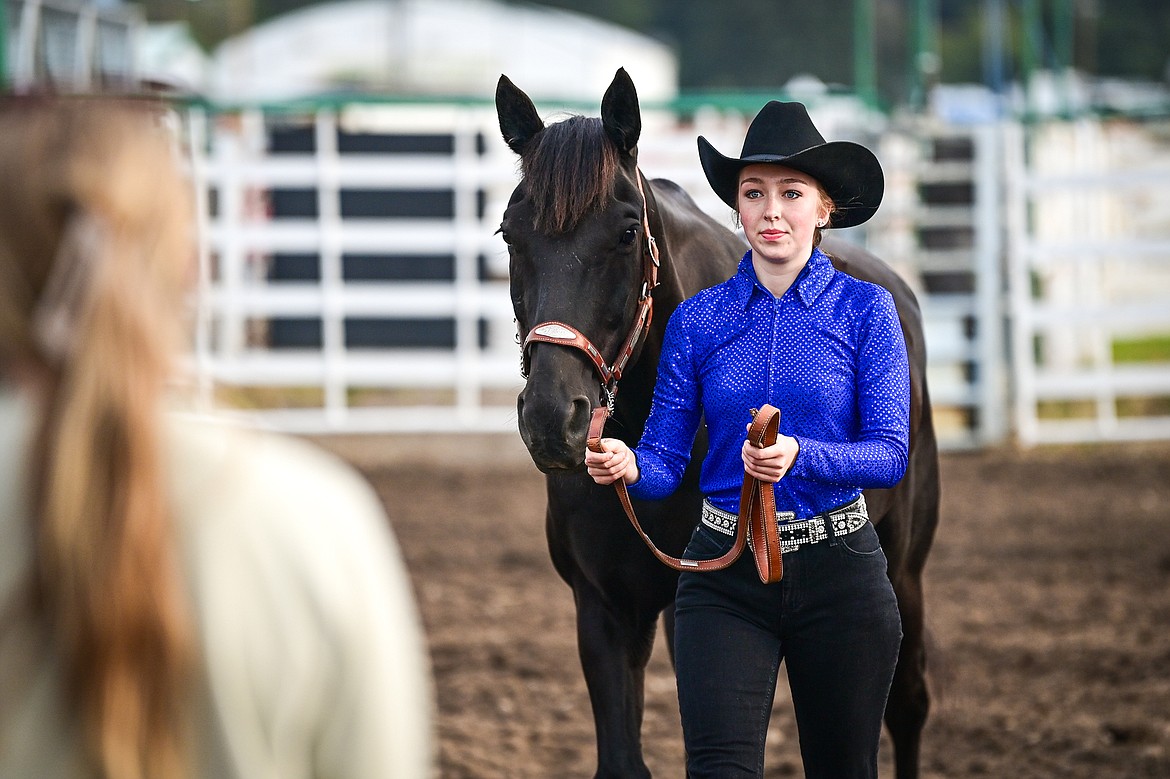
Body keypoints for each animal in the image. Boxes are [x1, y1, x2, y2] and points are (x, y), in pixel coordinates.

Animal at [493, 68, 940, 776]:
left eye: (626, 232)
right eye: (511, 234)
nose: (551, 418)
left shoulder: (684, 607)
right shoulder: (603, 610)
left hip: (905, 570)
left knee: (906, 705)